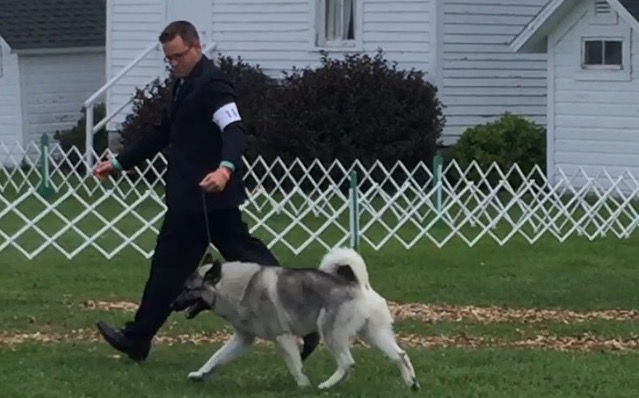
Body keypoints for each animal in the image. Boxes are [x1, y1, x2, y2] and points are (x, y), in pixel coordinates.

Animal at [171, 247, 420, 390]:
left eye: (188, 290)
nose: (171, 304)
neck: (239, 287)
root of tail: (359, 285)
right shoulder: (242, 339)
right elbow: (216, 358)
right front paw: (200, 374)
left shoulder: (282, 338)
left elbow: (295, 366)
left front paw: (303, 386)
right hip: (375, 334)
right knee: (400, 355)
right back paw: (412, 383)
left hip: (330, 333)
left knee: (347, 363)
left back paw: (326, 385)